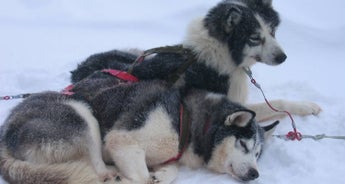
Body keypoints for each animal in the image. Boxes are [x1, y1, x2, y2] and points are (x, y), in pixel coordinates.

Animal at [0, 80, 278, 183]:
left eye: (258, 154)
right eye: (244, 145)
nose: (255, 174)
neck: (185, 121)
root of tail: (5, 133)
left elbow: (170, 170)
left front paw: (161, 174)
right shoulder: (121, 140)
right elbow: (142, 178)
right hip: (82, 115)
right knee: (97, 165)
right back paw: (110, 175)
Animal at [70, 0, 320, 123]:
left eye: (272, 31)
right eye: (255, 38)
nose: (283, 57)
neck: (220, 54)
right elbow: (278, 103)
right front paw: (307, 106)